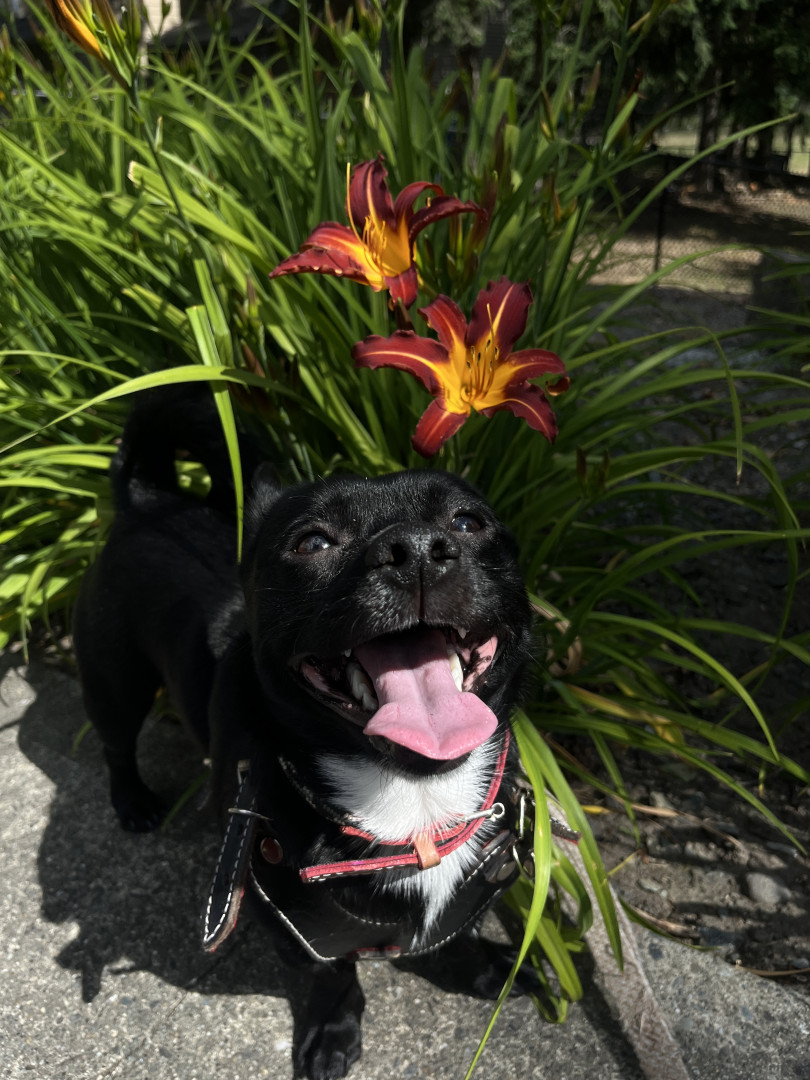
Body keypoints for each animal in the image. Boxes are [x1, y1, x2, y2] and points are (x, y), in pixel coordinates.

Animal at [72, 388, 534, 1079]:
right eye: (313, 542)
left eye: (468, 524)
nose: (417, 548)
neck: (412, 800)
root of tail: (151, 504)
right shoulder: (282, 915)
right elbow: (331, 975)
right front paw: (333, 1032)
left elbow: (455, 933)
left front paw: (482, 970)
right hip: (115, 678)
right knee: (115, 742)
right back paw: (133, 802)